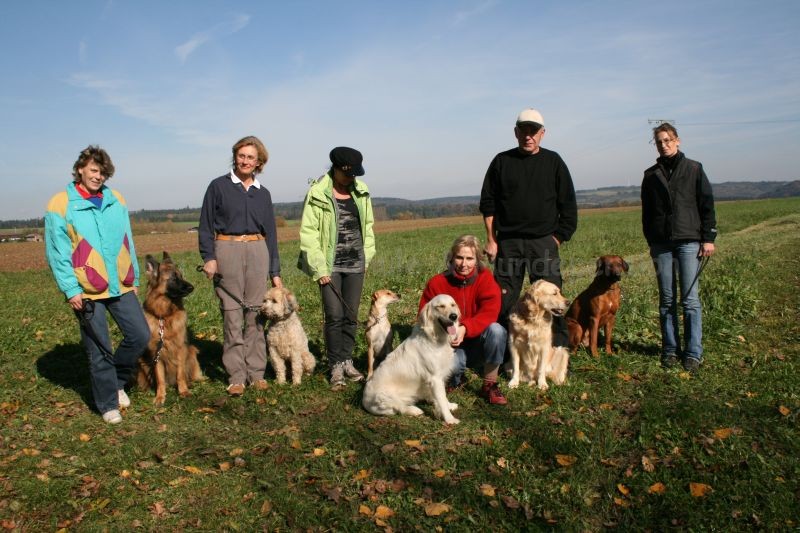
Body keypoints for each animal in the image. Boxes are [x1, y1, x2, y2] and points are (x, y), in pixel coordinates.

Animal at [137, 252, 203, 406]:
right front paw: (160, 396)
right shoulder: (156, 354)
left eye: (181, 275)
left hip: (191, 350)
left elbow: (181, 374)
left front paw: (183, 391)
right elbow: (160, 378)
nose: (192, 287)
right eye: (173, 278)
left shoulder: (180, 349)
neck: (164, 316)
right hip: (142, 361)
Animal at [362, 294, 461, 424]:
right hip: (384, 397)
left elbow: (441, 398)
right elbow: (441, 399)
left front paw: (448, 406)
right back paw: (415, 410)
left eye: (453, 305)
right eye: (440, 306)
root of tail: (363, 401)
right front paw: (449, 419)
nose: (454, 316)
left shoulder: (438, 377)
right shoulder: (435, 378)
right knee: (399, 408)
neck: (434, 338)